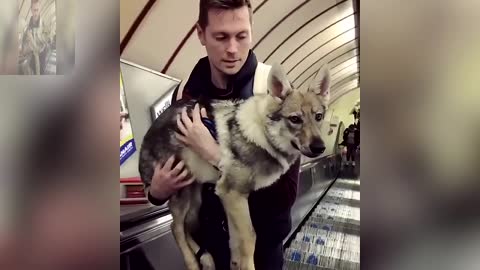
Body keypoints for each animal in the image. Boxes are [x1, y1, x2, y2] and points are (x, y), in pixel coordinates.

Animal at [140, 63, 330, 270]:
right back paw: (192, 263)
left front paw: (235, 263)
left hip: (195, 198)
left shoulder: (228, 196)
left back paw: (206, 258)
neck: (263, 137)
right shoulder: (232, 193)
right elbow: (249, 238)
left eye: (318, 117)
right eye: (295, 119)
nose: (320, 147)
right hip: (180, 193)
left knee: (185, 226)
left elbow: (235, 242)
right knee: (175, 228)